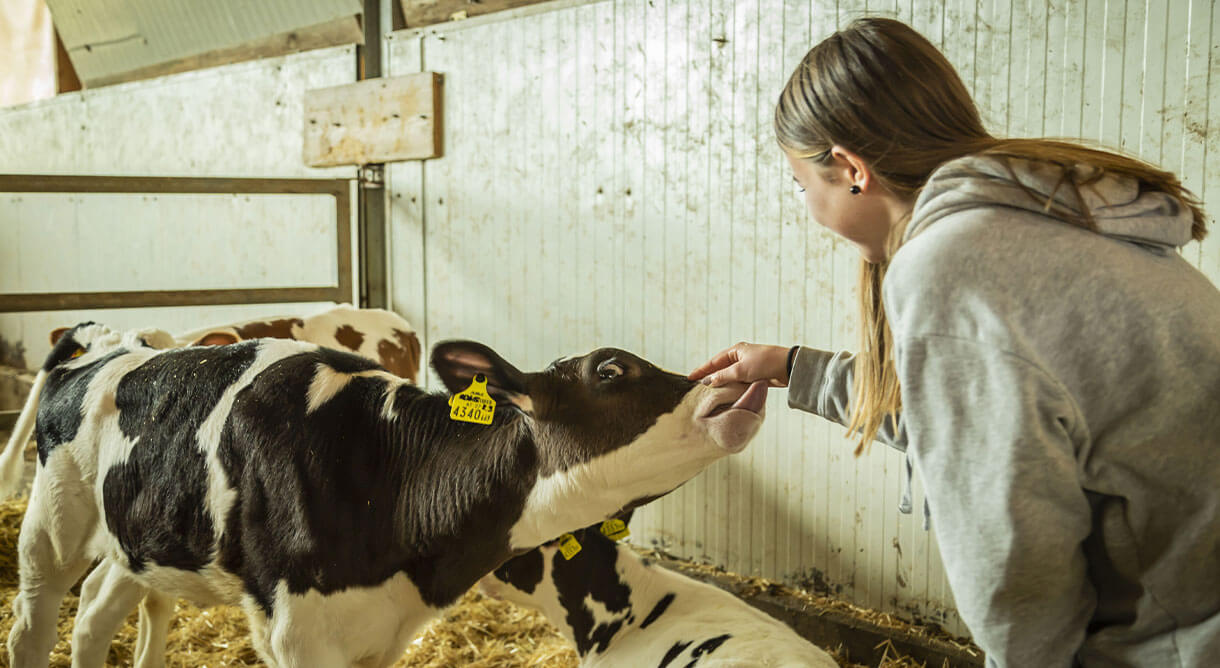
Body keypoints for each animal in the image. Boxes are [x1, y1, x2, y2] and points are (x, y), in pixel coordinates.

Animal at [9, 321, 766, 663]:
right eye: (611, 370)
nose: (735, 383)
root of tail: (110, 347)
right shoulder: (296, 636)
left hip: (138, 540)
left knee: (95, 613)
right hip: (52, 524)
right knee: (34, 622)